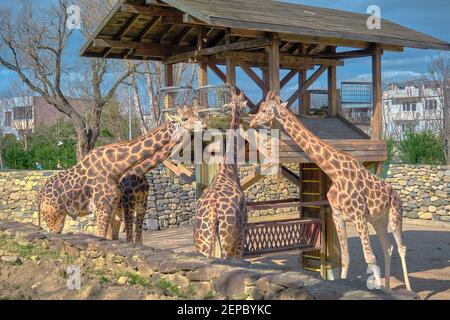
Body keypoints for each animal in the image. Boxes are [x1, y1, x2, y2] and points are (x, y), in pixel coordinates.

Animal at [37, 115, 200, 240]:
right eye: (185, 118)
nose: (203, 124)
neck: (116, 167)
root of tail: (40, 194)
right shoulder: (109, 207)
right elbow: (108, 237)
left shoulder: (127, 206)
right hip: (54, 215)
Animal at [194, 91, 250, 258]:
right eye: (243, 105)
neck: (228, 167)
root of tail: (213, 214)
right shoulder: (243, 234)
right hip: (228, 241)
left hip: (203, 243)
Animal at [250, 91, 412, 292]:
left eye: (264, 110)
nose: (251, 122)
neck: (335, 173)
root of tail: (396, 194)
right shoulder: (337, 214)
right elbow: (346, 258)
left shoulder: (359, 216)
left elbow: (370, 258)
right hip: (378, 220)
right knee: (387, 247)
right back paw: (388, 287)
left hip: (395, 215)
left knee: (401, 247)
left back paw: (408, 289)